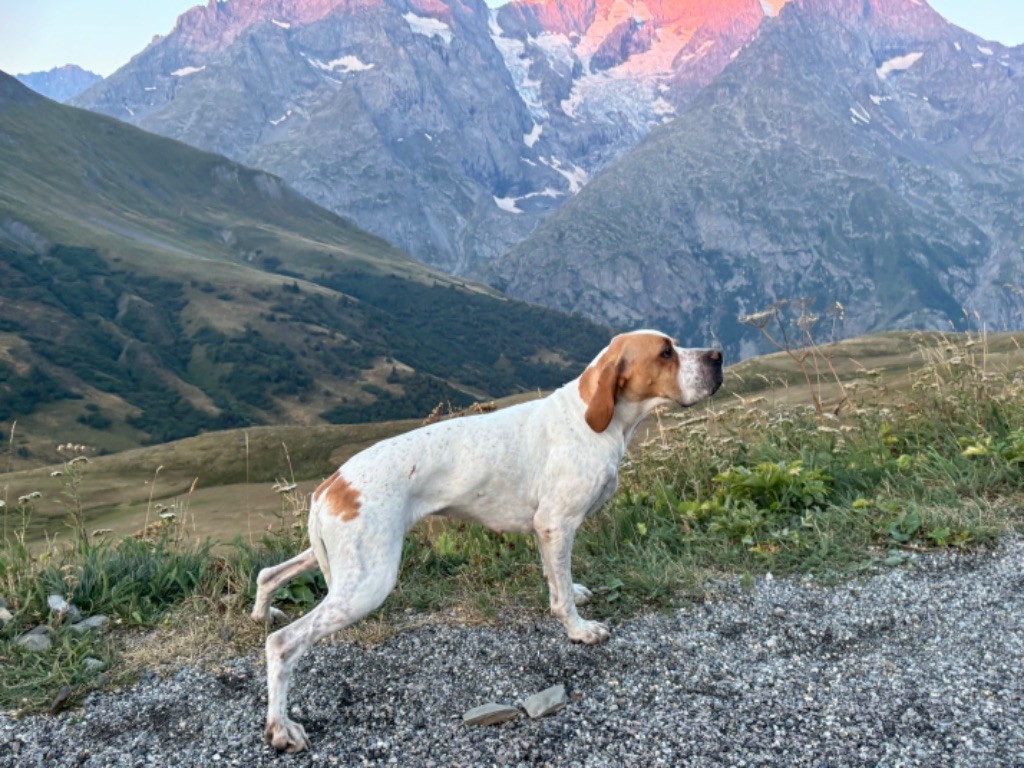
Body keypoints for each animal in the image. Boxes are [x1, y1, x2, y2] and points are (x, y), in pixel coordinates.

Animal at [251, 331, 724, 753]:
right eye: (665, 352)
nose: (717, 355)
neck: (593, 421)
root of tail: (333, 483)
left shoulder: (546, 531)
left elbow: (558, 581)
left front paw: (574, 594)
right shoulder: (557, 524)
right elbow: (561, 600)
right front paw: (579, 631)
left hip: (342, 561)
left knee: (269, 573)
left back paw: (262, 613)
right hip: (369, 582)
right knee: (283, 644)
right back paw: (281, 727)